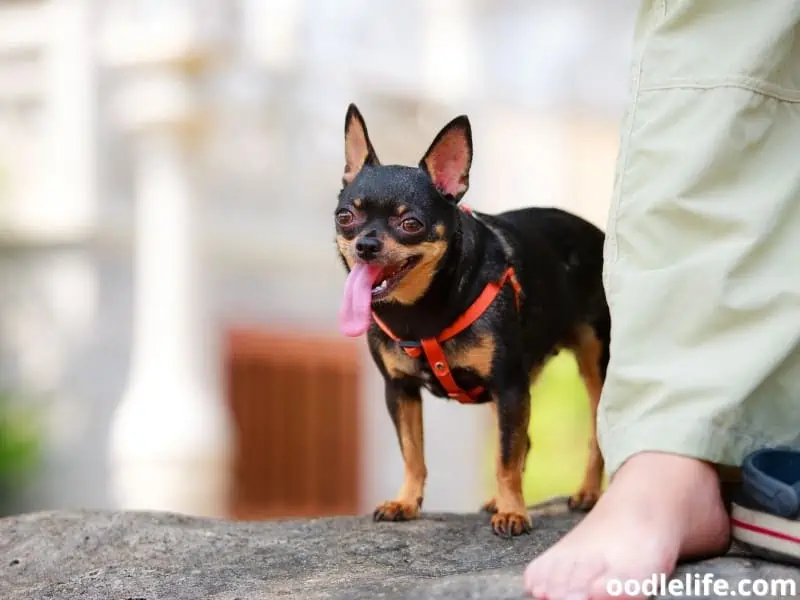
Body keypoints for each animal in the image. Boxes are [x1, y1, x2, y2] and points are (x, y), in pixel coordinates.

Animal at [334, 104, 608, 540]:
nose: (366, 244)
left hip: (594, 365)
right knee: (524, 442)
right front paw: (406, 502)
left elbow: (505, 458)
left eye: (410, 224)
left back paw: (586, 492)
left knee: (591, 436)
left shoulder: (509, 387)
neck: (420, 312)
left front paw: (513, 512)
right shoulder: (400, 390)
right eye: (346, 217)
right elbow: (413, 453)